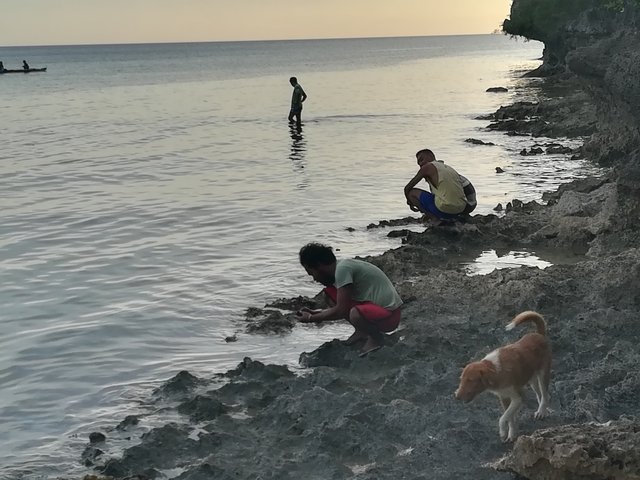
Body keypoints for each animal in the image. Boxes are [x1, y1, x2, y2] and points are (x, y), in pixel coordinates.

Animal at [456, 312, 552, 442]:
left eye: (470, 380)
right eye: (461, 379)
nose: (456, 396)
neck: (495, 369)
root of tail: (538, 334)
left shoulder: (518, 397)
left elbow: (503, 417)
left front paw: (502, 432)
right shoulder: (504, 397)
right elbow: (510, 418)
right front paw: (512, 434)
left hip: (543, 375)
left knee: (545, 394)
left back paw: (542, 411)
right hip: (531, 380)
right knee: (539, 394)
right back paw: (540, 410)